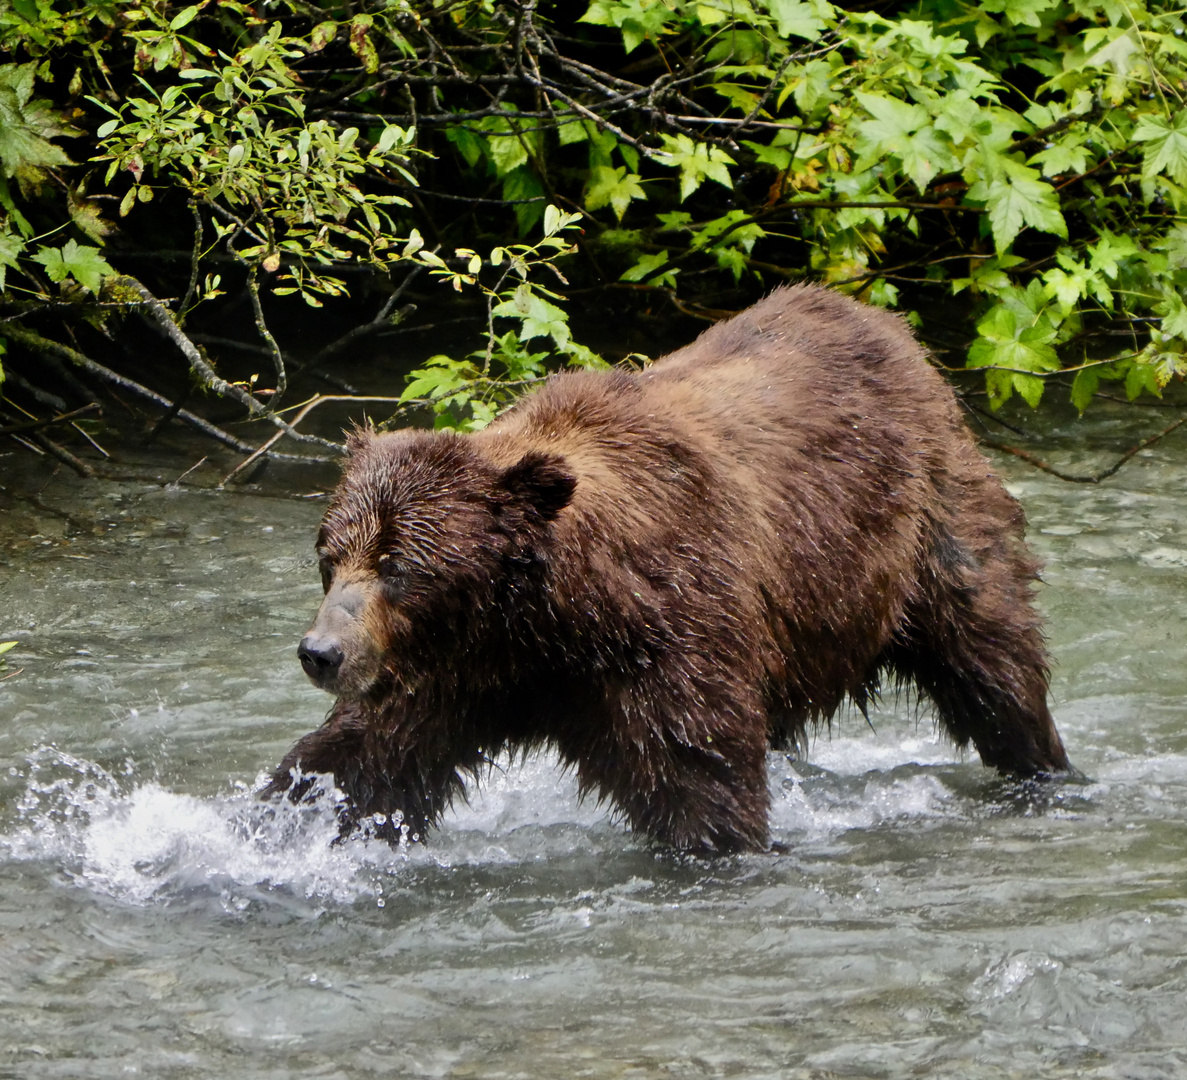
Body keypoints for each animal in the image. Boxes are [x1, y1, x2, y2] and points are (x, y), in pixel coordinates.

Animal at [264, 287, 1073, 854]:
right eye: (331, 557)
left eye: (399, 564)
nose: (321, 652)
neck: (545, 618)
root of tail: (890, 328)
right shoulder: (451, 673)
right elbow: (358, 764)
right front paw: (275, 828)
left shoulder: (666, 628)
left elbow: (697, 772)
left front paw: (723, 841)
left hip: (928, 527)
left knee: (993, 659)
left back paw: (1046, 767)